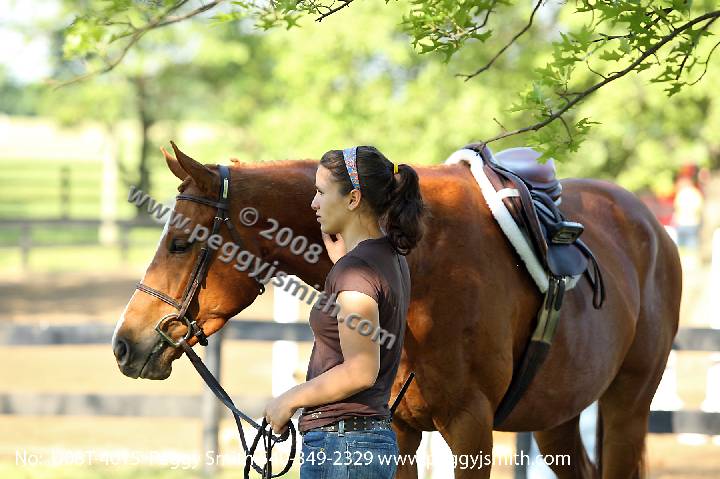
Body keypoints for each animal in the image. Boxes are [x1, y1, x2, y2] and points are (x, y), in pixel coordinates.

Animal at [112, 143, 681, 478]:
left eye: (180, 243)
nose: (124, 344)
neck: (422, 263)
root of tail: (648, 224)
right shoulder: (401, 433)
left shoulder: (471, 430)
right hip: (556, 419)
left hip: (627, 407)